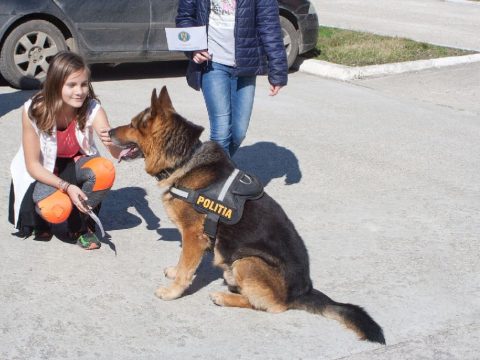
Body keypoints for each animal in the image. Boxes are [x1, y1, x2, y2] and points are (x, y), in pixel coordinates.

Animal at [109, 87, 386, 344]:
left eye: (133, 125)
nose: (108, 132)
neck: (184, 159)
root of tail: (303, 291)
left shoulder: (193, 236)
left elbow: (187, 269)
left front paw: (172, 292)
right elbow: (183, 263)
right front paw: (174, 272)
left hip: (248, 261)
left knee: (273, 306)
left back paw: (223, 297)